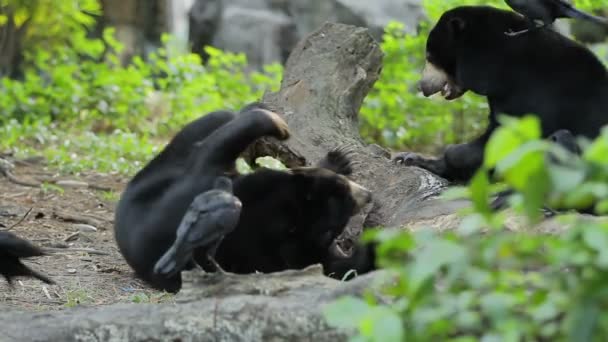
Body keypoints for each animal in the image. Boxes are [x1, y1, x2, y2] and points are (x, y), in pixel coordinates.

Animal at [115, 103, 376, 292]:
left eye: (332, 231)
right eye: (343, 189)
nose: (369, 196)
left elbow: (339, 268)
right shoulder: (204, 178)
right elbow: (216, 148)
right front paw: (280, 125)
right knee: (216, 119)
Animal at [394, 4, 608, 184]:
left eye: (430, 57)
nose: (422, 86)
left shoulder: (532, 90)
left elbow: (507, 135)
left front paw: (454, 155)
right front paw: (409, 158)